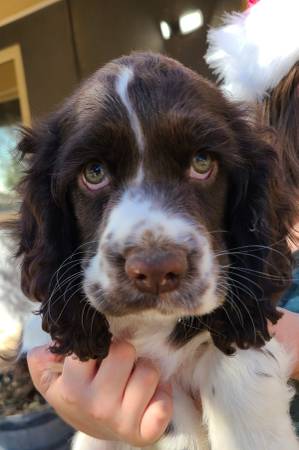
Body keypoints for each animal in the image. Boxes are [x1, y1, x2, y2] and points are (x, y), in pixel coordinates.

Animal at [14, 53, 299, 450]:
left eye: (202, 163)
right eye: (94, 172)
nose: (155, 271)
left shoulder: (244, 316)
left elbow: (239, 369)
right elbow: (173, 419)